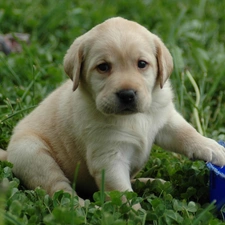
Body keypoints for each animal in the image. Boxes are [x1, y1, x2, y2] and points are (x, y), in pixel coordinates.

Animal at [0, 17, 225, 209]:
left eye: (142, 64)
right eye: (103, 67)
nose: (127, 94)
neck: (133, 118)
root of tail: (8, 153)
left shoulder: (164, 119)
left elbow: (185, 132)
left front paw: (213, 148)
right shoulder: (109, 158)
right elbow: (122, 193)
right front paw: (134, 214)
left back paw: (152, 182)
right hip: (32, 153)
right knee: (59, 189)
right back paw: (81, 207)